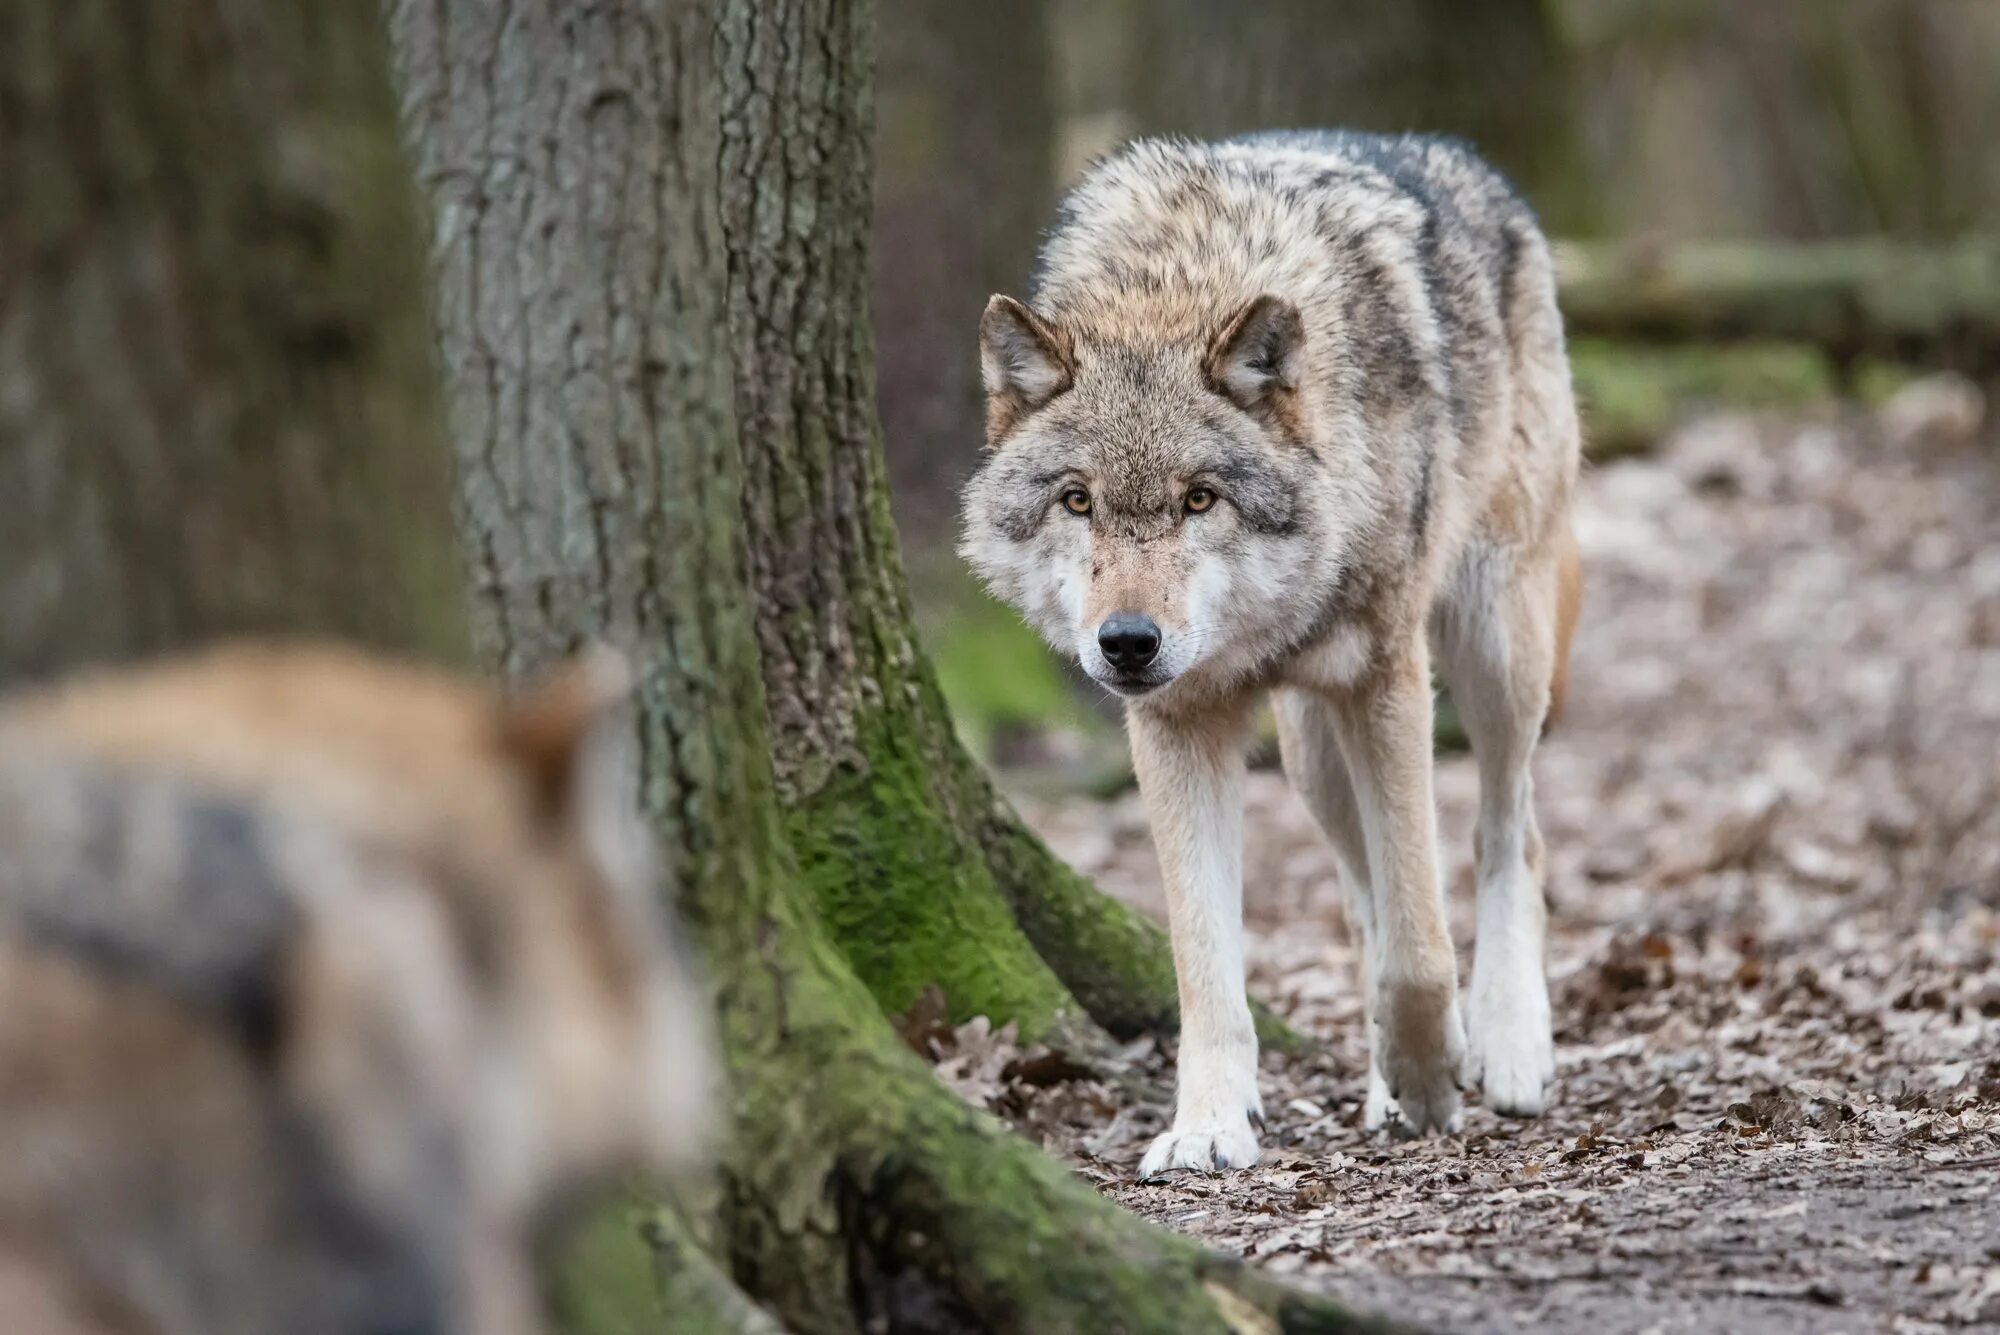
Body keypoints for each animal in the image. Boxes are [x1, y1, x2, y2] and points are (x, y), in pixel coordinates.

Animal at [960, 135, 1584, 1175]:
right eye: (1078, 500)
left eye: (1200, 498)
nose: (1126, 642)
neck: (1179, 277)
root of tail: (1461, 159)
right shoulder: (1177, 727)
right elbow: (1208, 965)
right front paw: (1209, 1124)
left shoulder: (1388, 679)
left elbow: (1423, 937)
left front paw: (1432, 1075)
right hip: (1310, 754)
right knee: (1363, 897)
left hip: (1494, 645)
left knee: (1509, 833)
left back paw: (1507, 1048)